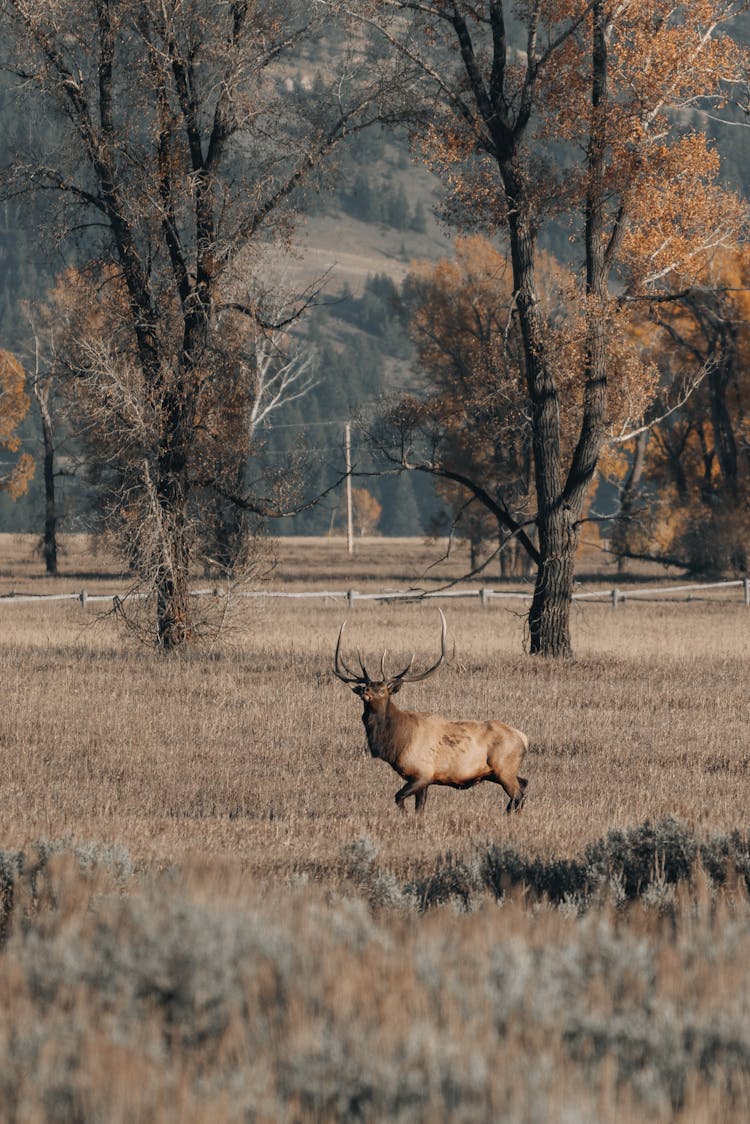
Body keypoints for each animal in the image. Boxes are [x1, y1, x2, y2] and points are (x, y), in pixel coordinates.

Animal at [335, 611, 528, 813]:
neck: (398, 741)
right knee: (524, 784)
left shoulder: (422, 773)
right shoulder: (423, 780)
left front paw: (404, 815)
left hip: (504, 768)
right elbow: (419, 808)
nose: (364, 691)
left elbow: (398, 798)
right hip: (498, 773)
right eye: (367, 685)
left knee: (518, 794)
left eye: (381, 690)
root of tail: (524, 738)